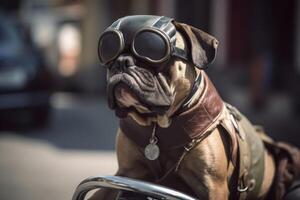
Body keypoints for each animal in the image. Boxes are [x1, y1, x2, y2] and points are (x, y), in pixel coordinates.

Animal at [89, 15, 300, 200]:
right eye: (108, 51)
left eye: (151, 49)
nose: (121, 62)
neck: (158, 126)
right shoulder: (125, 175)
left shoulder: (212, 187)